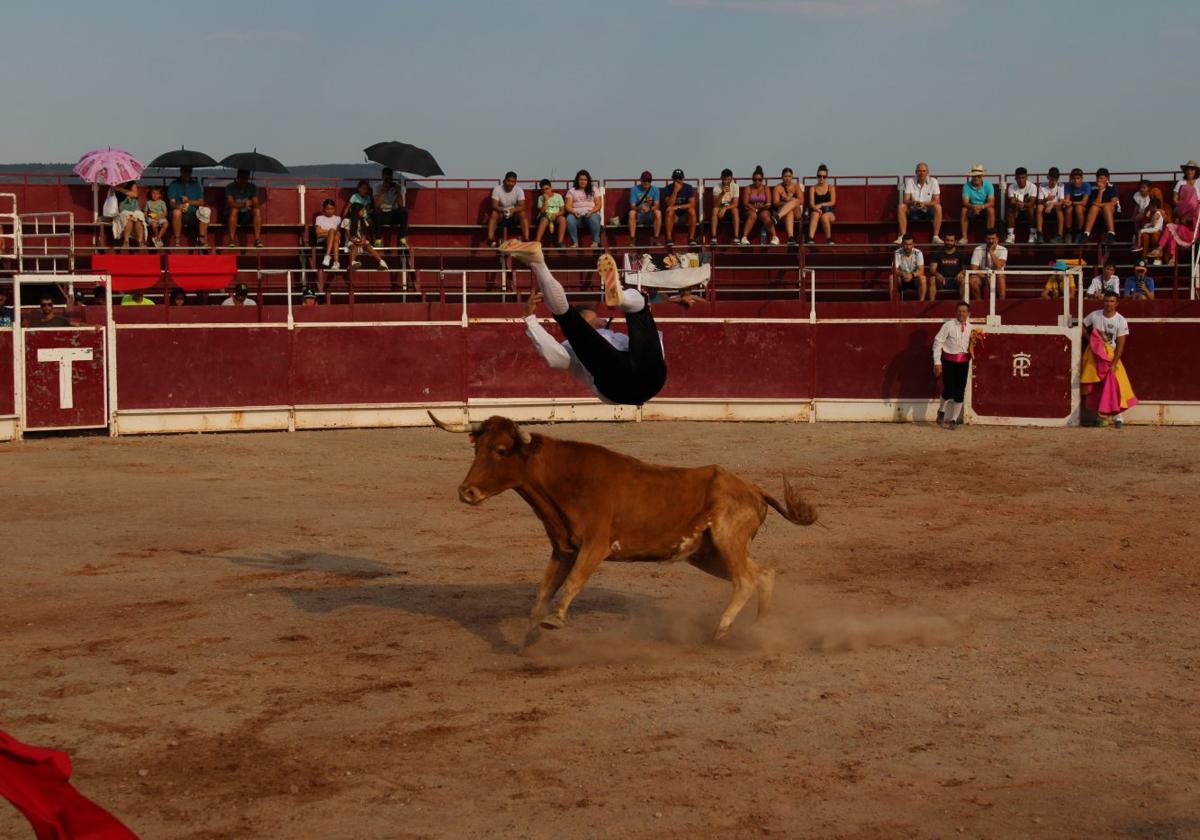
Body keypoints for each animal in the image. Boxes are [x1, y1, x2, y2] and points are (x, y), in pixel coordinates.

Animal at [432, 412, 816, 643]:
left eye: (500, 450)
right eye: (477, 449)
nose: (467, 492)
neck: (564, 479)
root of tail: (753, 489)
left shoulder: (595, 545)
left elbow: (573, 583)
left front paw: (554, 621)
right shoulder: (563, 549)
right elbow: (543, 590)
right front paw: (531, 634)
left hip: (726, 540)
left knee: (746, 579)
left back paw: (722, 629)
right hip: (707, 554)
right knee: (763, 573)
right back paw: (761, 627)